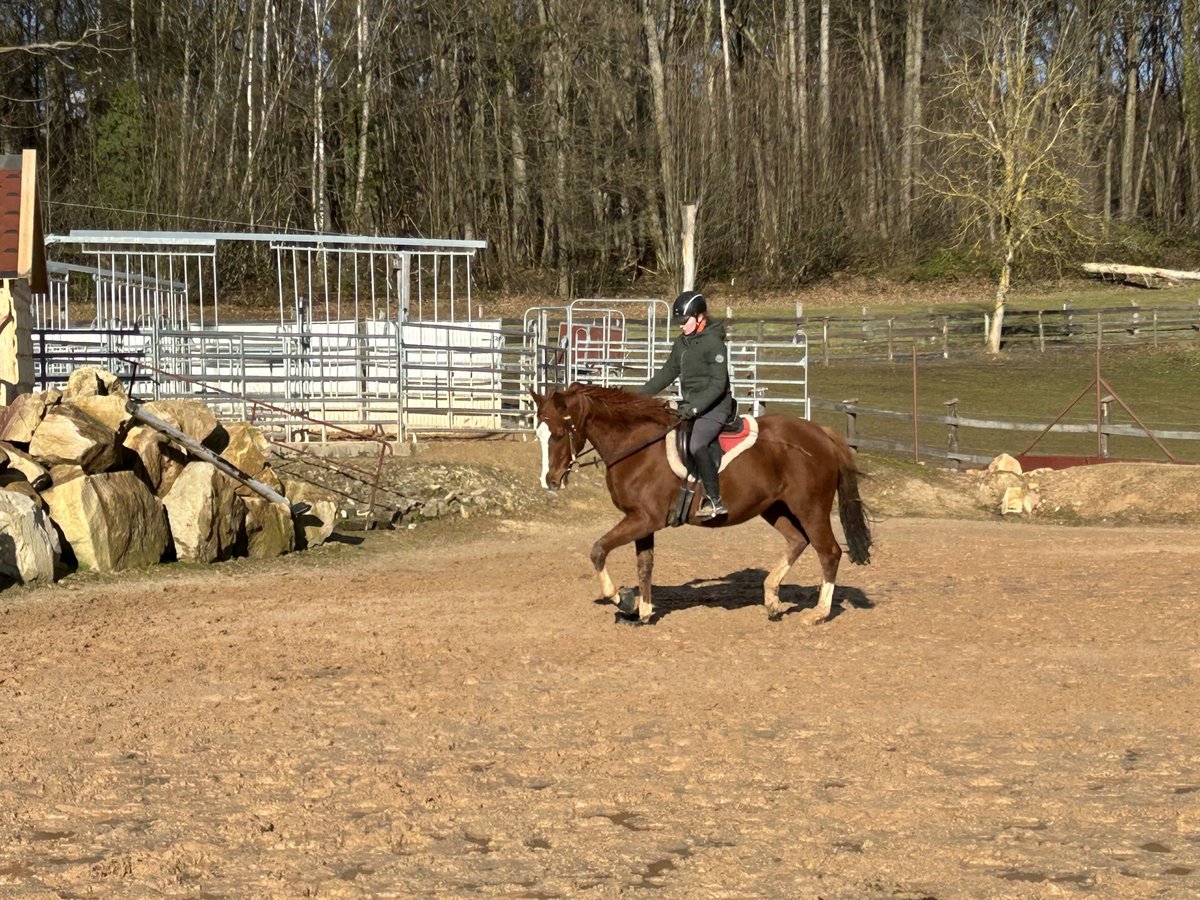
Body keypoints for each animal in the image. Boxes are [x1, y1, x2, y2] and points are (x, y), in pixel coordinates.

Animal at [535, 381, 873, 628]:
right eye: (539, 434)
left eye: (559, 434)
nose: (550, 480)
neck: (637, 447)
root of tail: (820, 432)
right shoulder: (640, 520)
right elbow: (644, 565)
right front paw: (642, 612)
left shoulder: (643, 519)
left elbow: (599, 550)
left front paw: (623, 599)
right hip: (775, 508)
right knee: (797, 541)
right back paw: (772, 599)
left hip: (811, 508)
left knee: (828, 552)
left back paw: (818, 613)